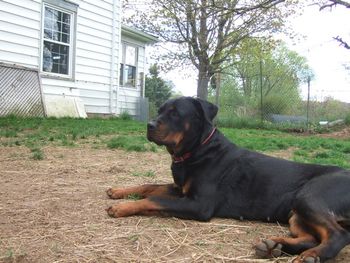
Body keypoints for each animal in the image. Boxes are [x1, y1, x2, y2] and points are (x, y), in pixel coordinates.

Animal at [106, 97, 350, 263]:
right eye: (160, 110)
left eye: (175, 113)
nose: (149, 125)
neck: (197, 150)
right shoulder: (180, 189)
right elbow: (149, 186)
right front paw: (118, 191)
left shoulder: (199, 204)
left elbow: (154, 200)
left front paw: (121, 207)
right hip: (296, 213)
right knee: (312, 236)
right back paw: (273, 246)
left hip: (309, 196)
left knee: (339, 234)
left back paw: (312, 256)